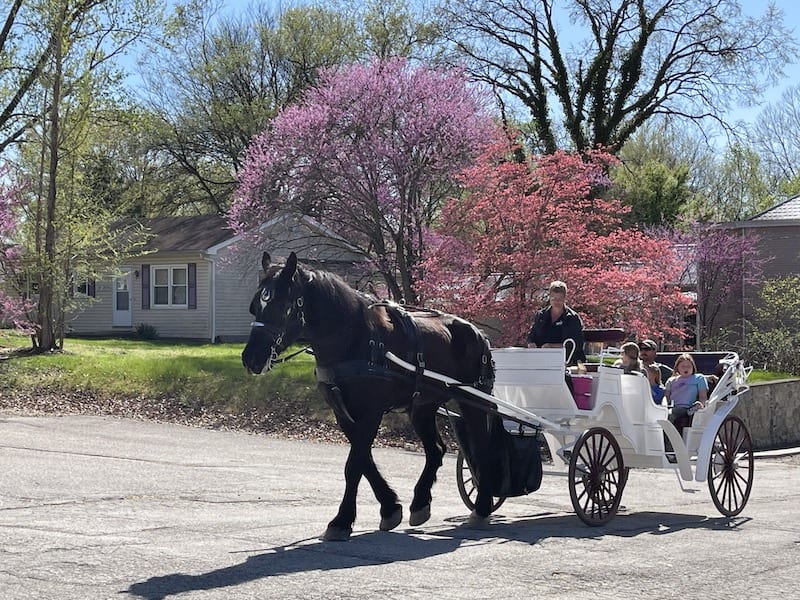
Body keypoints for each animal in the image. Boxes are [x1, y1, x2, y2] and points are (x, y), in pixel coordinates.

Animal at [241, 251, 496, 540]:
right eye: (254, 306)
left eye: (282, 306)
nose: (251, 358)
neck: (356, 337)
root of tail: (477, 332)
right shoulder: (343, 412)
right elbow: (364, 461)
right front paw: (390, 508)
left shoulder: (371, 412)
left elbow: (354, 465)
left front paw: (341, 521)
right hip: (423, 406)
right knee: (436, 450)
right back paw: (420, 503)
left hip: (474, 401)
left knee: (482, 449)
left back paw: (481, 508)